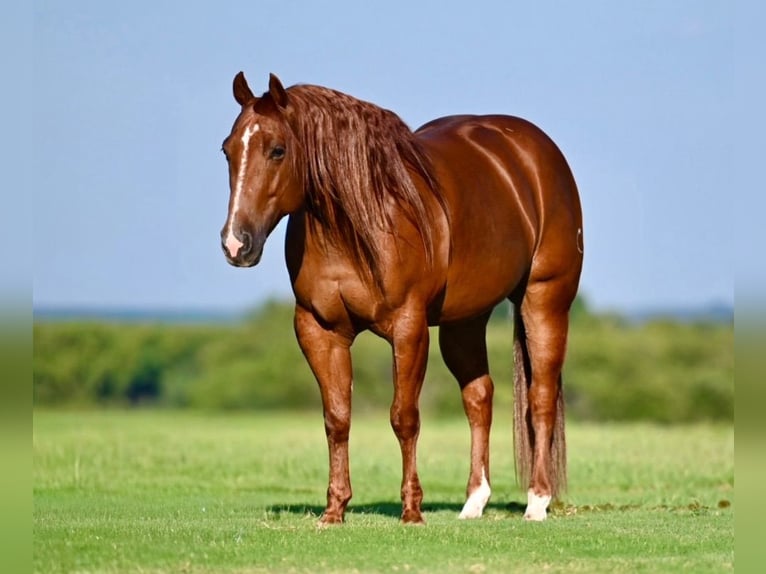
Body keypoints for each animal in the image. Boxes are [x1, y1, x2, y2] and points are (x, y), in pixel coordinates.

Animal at [220, 72, 583, 524]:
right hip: (465, 319)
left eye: (277, 150)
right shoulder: (319, 330)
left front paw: (412, 510)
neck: (357, 226)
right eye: (227, 150)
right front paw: (334, 509)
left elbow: (404, 417)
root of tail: (534, 151)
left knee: (540, 397)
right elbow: (337, 418)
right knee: (479, 397)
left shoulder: (409, 327)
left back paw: (536, 502)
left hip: (545, 299)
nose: (236, 244)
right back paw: (474, 501)